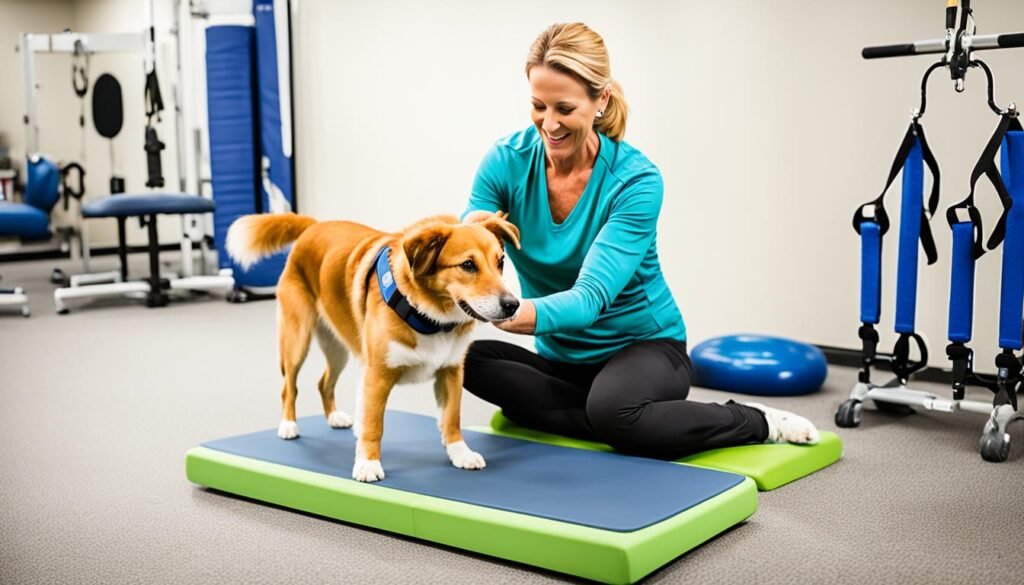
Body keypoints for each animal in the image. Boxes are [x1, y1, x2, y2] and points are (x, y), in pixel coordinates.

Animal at [225, 213, 520, 483]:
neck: (429, 317)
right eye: (468, 265)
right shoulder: (378, 376)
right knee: (289, 387)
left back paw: (335, 417)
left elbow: (451, 418)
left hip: (339, 349)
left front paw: (460, 452)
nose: (512, 305)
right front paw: (368, 463)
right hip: (297, 340)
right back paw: (288, 424)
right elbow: (375, 425)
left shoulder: (451, 371)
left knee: (324, 383)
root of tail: (315, 225)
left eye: (500, 262)